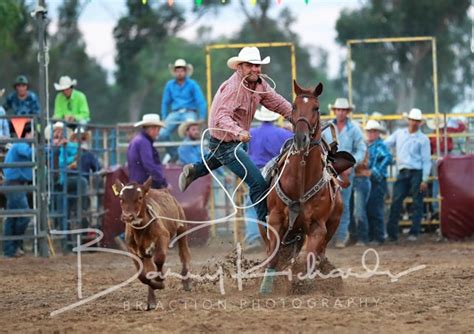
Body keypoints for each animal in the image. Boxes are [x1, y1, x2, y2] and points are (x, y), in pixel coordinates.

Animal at [113, 176, 191, 310]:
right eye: (121, 198)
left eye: (139, 197)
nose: (128, 217)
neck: (141, 230)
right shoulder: (132, 249)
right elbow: (143, 275)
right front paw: (155, 286)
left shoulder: (163, 237)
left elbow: (159, 259)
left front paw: (160, 281)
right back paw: (152, 301)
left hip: (182, 227)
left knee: (184, 253)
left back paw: (186, 282)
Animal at [260, 82, 344, 294]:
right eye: (294, 106)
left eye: (316, 108)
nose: (301, 138)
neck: (300, 182)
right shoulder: (275, 219)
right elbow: (274, 253)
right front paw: (266, 286)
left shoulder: (317, 227)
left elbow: (310, 256)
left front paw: (303, 282)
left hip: (331, 225)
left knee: (319, 253)